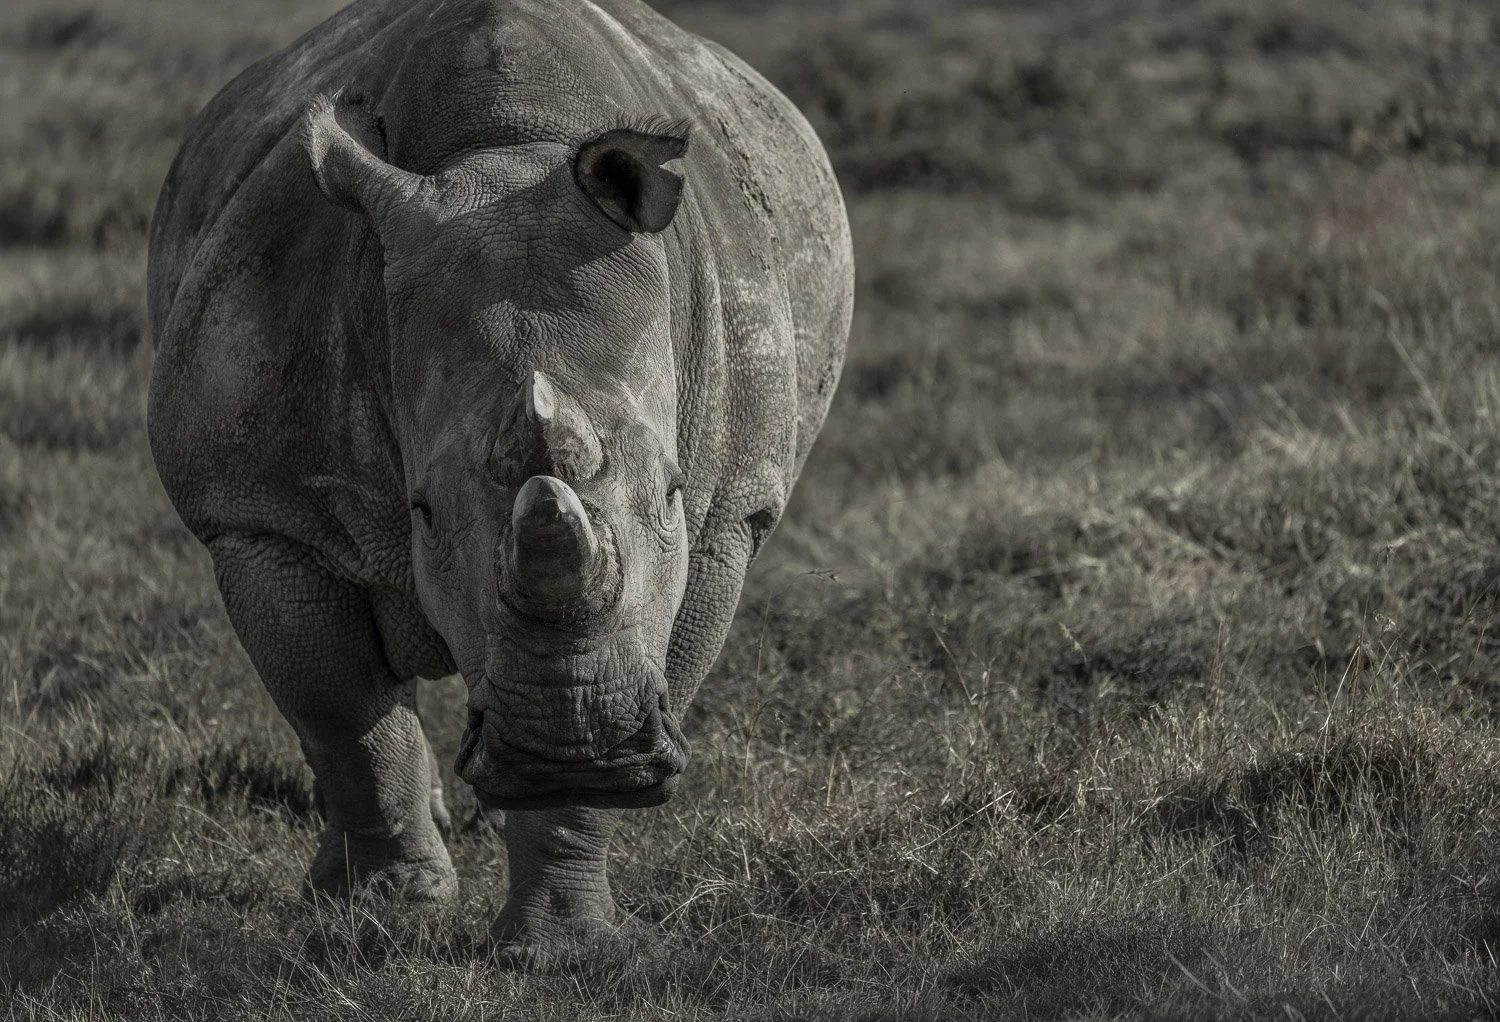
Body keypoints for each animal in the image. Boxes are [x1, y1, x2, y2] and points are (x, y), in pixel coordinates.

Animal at [145, 0, 852, 958]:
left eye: (673, 492)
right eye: (422, 512)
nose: (572, 742)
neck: (504, 153)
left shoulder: (724, 520)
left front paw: (562, 946)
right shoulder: (259, 512)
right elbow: (341, 716)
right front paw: (389, 909)